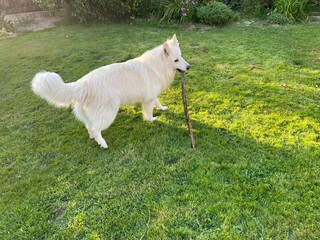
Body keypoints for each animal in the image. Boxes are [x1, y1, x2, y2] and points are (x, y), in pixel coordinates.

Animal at [31, 34, 190, 148]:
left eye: (181, 56)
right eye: (176, 60)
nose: (189, 67)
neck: (157, 65)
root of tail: (82, 84)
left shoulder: (151, 95)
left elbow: (158, 102)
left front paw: (162, 108)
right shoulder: (148, 99)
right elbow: (149, 112)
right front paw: (151, 120)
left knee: (90, 127)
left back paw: (94, 139)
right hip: (109, 111)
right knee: (95, 128)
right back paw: (103, 144)